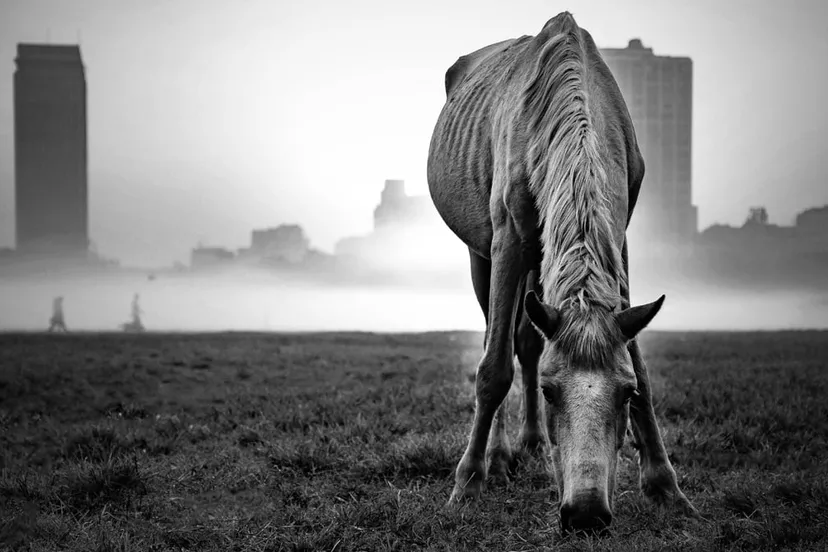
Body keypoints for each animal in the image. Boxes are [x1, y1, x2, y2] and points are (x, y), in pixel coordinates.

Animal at [427, 12, 697, 531]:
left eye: (625, 394)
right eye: (551, 393)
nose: (586, 513)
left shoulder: (620, 241)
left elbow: (639, 361)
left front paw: (666, 486)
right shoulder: (507, 239)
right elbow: (493, 368)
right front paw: (466, 484)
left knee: (529, 341)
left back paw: (528, 443)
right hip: (482, 253)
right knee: (498, 339)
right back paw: (498, 457)